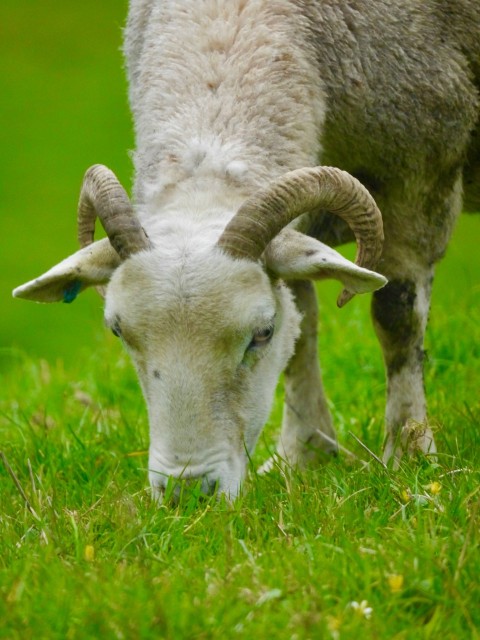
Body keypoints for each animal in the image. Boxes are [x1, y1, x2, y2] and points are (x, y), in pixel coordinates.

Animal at [13, 0, 478, 498]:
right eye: (118, 331)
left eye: (262, 333)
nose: (187, 492)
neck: (229, 23)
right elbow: (303, 329)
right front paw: (304, 454)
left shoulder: (421, 178)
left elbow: (397, 320)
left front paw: (409, 453)